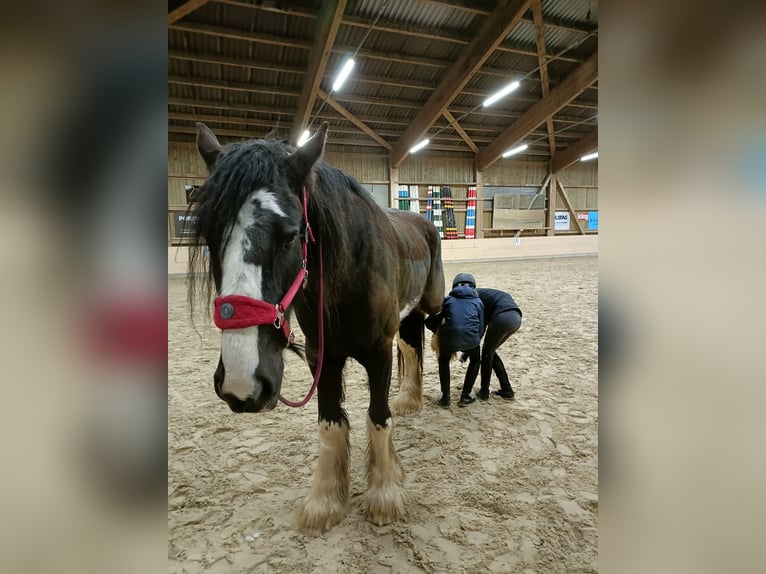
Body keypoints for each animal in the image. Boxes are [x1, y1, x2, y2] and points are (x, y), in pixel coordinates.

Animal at [186, 122, 445, 534]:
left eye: (290, 235)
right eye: (210, 235)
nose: (242, 384)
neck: (352, 270)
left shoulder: (377, 352)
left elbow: (377, 417)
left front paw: (384, 495)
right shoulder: (321, 356)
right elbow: (330, 423)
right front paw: (325, 502)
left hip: (429, 305)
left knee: (427, 338)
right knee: (410, 345)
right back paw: (409, 399)